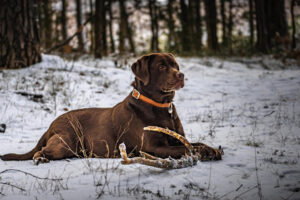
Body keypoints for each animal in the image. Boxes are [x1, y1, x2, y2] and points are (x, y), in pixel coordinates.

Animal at [1, 52, 221, 164]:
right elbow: (186, 148)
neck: (159, 106)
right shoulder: (152, 147)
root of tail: (50, 125)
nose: (181, 75)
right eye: (161, 66)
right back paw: (41, 159)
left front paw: (211, 149)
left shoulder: (176, 138)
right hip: (67, 142)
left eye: (176, 65)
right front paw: (204, 152)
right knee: (41, 151)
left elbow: (194, 142)